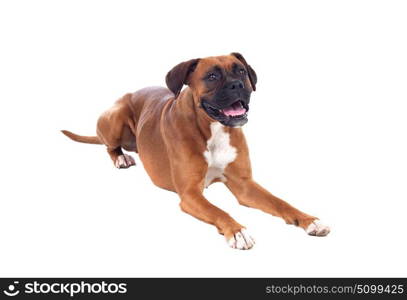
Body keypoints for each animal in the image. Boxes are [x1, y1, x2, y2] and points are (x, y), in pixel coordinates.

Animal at [63, 52, 332, 250]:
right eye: (212, 76)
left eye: (241, 71)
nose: (237, 84)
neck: (214, 129)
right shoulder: (191, 194)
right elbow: (219, 210)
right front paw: (238, 231)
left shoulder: (245, 185)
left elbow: (280, 202)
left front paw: (309, 220)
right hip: (115, 118)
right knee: (109, 145)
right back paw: (120, 158)